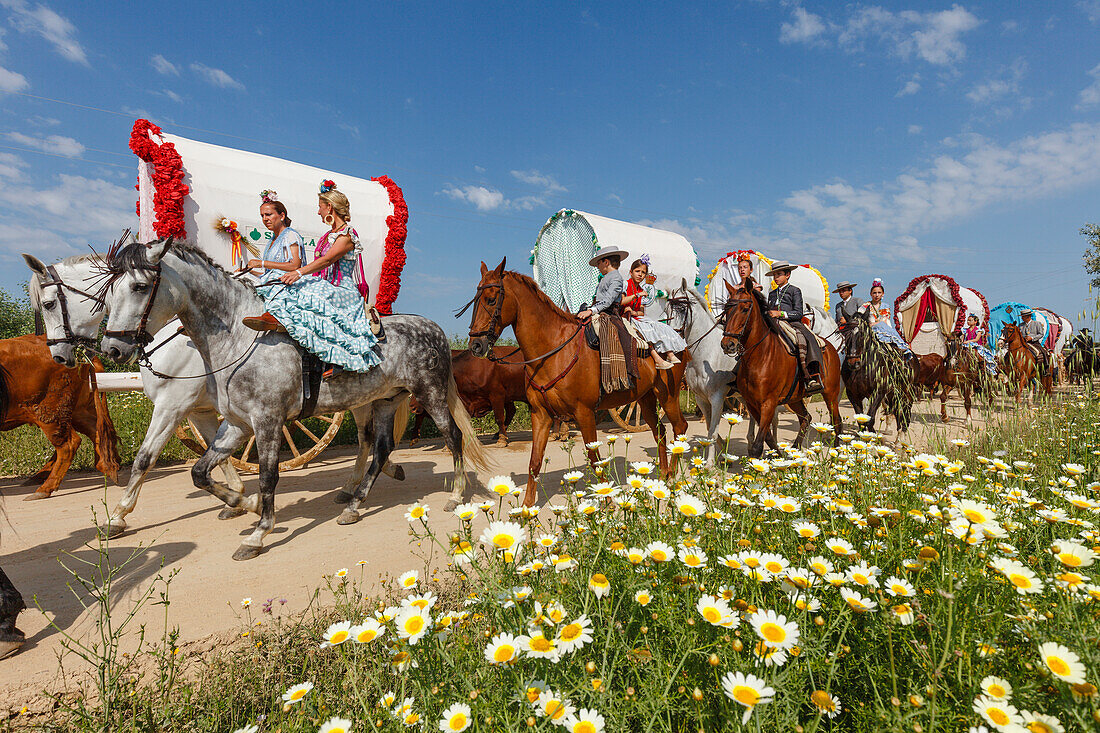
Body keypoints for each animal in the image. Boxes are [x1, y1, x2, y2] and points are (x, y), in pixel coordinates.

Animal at [0, 332, 120, 497]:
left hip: (51, 412)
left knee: (69, 444)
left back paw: (44, 488)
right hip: (77, 411)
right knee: (96, 431)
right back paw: (106, 466)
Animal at [23, 250, 404, 537]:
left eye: (50, 304)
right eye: (111, 292)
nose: (59, 356)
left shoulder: (173, 407)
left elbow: (146, 459)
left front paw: (118, 515)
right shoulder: (203, 411)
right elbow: (215, 456)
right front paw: (239, 500)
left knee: (368, 439)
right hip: (364, 399)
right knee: (368, 438)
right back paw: (364, 482)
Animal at [100, 236, 490, 556]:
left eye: (139, 286)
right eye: (110, 291)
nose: (113, 348)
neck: (240, 337)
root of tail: (433, 328)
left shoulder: (265, 421)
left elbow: (268, 476)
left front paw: (258, 532)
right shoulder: (236, 424)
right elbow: (199, 472)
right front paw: (246, 503)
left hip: (431, 393)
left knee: (453, 438)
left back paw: (455, 496)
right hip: (384, 401)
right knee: (379, 449)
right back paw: (353, 505)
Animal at [466, 259, 686, 506]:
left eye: (490, 299)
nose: (476, 345)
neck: (553, 350)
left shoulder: (585, 413)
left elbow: (595, 459)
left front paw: (606, 503)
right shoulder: (540, 414)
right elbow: (534, 461)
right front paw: (527, 507)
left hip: (669, 396)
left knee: (679, 428)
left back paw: (673, 478)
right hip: (645, 399)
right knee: (661, 432)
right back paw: (664, 475)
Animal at [721, 278, 840, 453]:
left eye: (745, 309)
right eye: (726, 309)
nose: (728, 344)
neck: (760, 356)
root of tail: (831, 347)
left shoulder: (768, 404)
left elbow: (758, 445)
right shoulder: (752, 404)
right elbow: (768, 438)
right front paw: (778, 454)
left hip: (830, 393)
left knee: (836, 421)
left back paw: (836, 452)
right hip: (795, 399)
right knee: (806, 418)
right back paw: (794, 451)